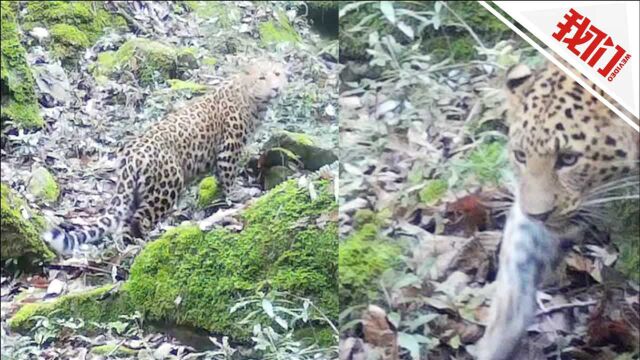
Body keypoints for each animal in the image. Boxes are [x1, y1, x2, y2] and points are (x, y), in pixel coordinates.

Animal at [42, 58, 288, 256]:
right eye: (262, 77)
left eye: (277, 74)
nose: (276, 88)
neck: (253, 101)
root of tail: (129, 157)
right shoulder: (229, 146)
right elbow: (228, 175)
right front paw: (237, 194)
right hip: (167, 184)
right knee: (142, 217)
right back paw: (149, 240)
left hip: (136, 192)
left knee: (124, 222)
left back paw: (126, 244)